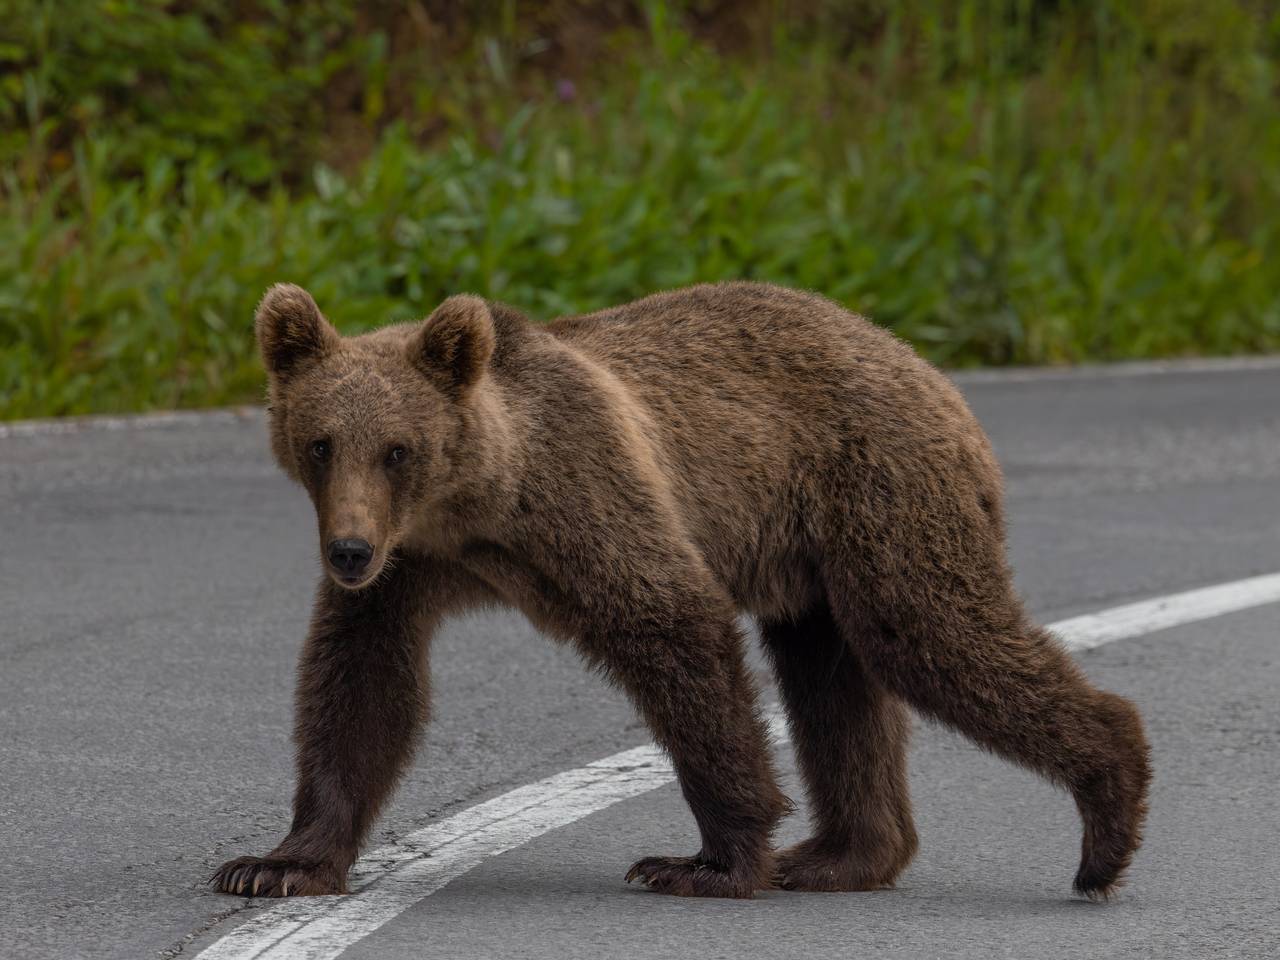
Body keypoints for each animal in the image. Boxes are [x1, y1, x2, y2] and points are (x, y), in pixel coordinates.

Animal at [211, 280, 1150, 901]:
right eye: (321, 443)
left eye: (397, 449)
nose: (347, 549)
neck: (479, 506)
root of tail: (933, 374)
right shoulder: (412, 572)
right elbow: (362, 685)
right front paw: (276, 864)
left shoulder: (584, 502)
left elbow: (672, 624)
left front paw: (704, 860)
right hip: (815, 567)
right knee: (835, 687)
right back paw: (840, 855)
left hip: (878, 490)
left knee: (930, 635)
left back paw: (1107, 817)